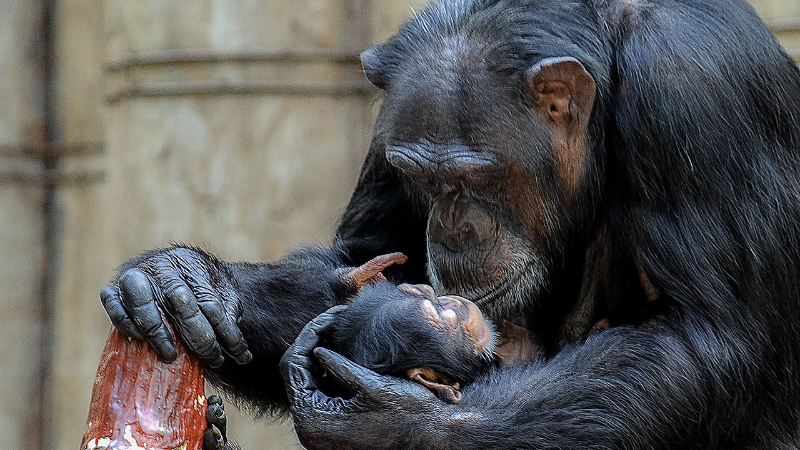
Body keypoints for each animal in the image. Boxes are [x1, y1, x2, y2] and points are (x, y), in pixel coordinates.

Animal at [100, 0, 800, 446]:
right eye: (423, 178)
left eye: (474, 178)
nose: (454, 229)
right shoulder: (394, 119)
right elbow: (363, 260)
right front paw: (188, 281)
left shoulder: (690, 89)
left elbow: (703, 335)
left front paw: (392, 424)